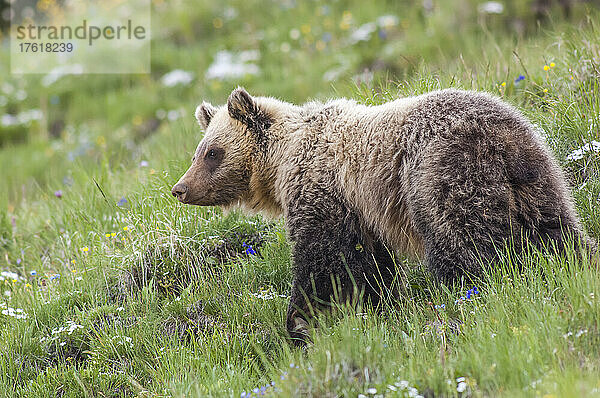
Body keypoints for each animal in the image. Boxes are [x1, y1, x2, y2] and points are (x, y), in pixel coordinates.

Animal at [172, 87, 592, 346]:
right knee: (556, 231)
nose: (180, 188)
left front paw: (301, 321)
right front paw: (379, 307)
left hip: (438, 174)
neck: (280, 163)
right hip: (538, 180)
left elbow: (324, 260)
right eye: (198, 151)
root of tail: (500, 137)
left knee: (460, 243)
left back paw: (468, 293)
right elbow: (370, 266)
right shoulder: (361, 214)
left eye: (212, 153)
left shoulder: (323, 192)